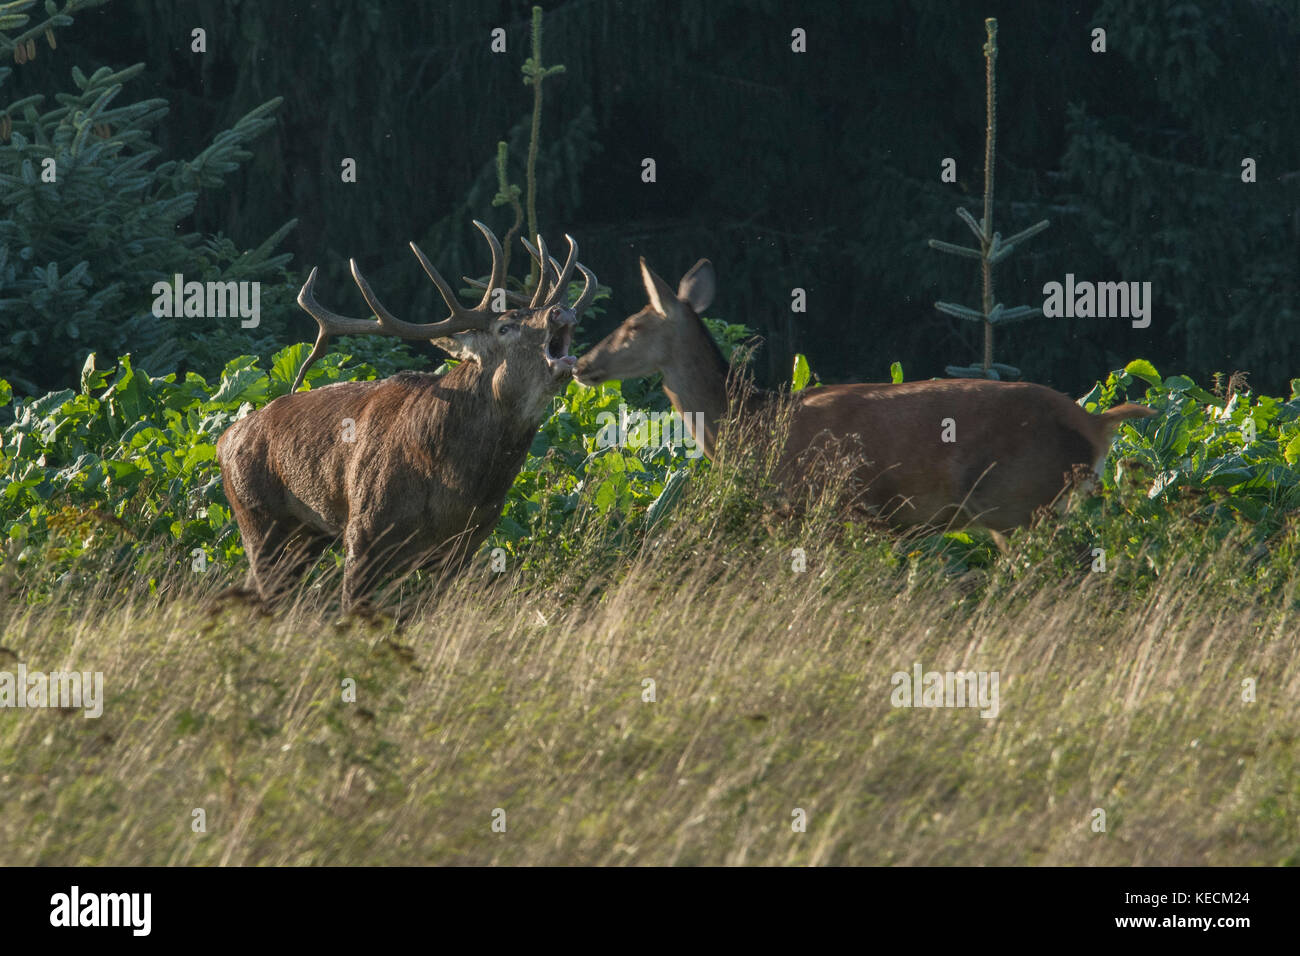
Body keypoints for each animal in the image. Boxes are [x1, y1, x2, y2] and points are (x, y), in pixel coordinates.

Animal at [216, 221, 596, 610]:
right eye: (505, 327)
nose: (560, 311)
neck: (458, 486)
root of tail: (223, 438)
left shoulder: (462, 549)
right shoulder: (363, 533)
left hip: (307, 534)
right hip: (256, 517)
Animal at [573, 257, 1156, 536]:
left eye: (632, 326)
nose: (580, 364)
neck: (755, 426)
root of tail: (1095, 423)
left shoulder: (821, 502)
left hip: (1018, 498)